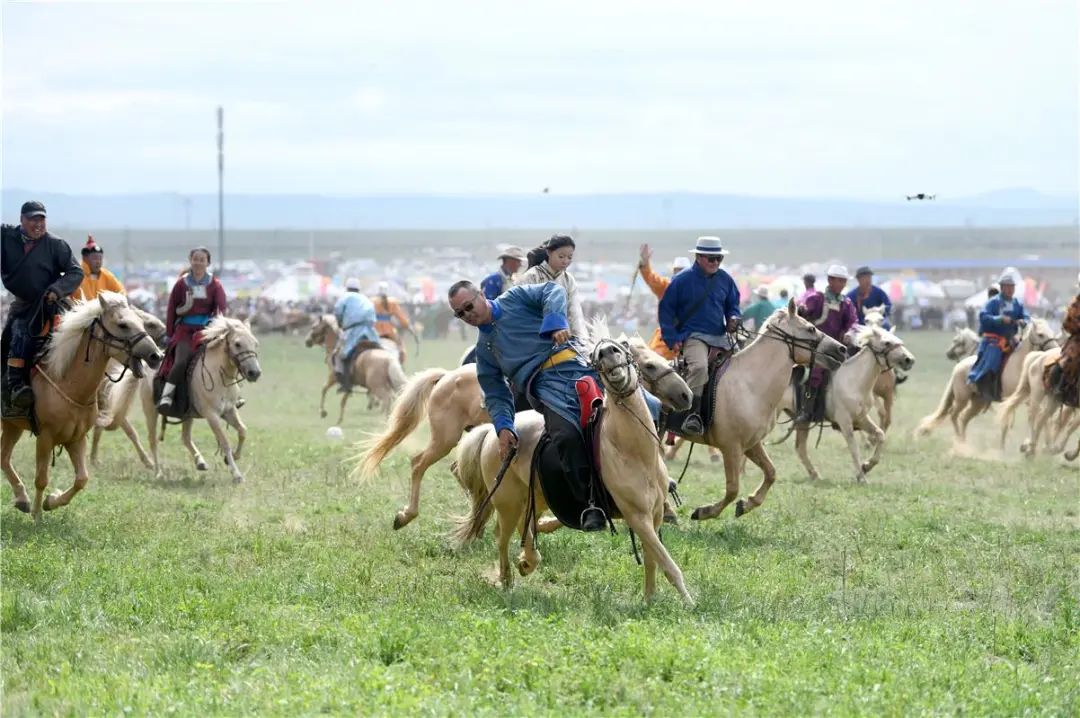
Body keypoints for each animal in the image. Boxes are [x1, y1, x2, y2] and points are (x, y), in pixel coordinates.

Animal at [3, 291, 163, 520]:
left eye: (142, 323)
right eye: (122, 324)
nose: (156, 355)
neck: (67, 383)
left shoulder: (76, 439)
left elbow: (82, 479)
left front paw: (51, 501)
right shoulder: (45, 437)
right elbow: (41, 478)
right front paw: (37, 514)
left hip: (12, 426)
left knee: (4, 458)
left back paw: (21, 498)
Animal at [354, 323, 691, 526]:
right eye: (651, 365)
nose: (686, 395)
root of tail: (445, 377)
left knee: (454, 470)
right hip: (444, 438)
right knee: (418, 464)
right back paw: (406, 515)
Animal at [451, 317, 695, 600]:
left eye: (624, 349)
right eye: (649, 365)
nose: (608, 353)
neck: (634, 452)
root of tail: (495, 433)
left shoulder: (653, 516)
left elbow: (652, 560)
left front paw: (649, 599)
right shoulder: (637, 517)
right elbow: (668, 564)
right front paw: (688, 602)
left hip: (535, 497)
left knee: (525, 527)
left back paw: (527, 561)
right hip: (508, 502)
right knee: (502, 536)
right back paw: (508, 578)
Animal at [781, 323, 915, 481]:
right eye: (887, 343)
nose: (909, 359)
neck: (854, 379)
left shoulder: (861, 418)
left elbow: (880, 435)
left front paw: (866, 466)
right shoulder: (845, 422)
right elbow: (854, 448)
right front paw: (861, 476)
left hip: (802, 421)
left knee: (800, 448)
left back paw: (815, 475)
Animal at [915, 317, 1058, 440]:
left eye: (1051, 333)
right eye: (1040, 334)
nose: (948, 353)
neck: (1020, 364)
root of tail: (958, 368)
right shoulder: (1014, 398)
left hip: (977, 401)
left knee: (963, 417)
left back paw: (962, 440)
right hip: (962, 398)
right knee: (954, 414)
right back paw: (960, 442)